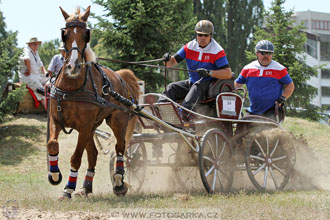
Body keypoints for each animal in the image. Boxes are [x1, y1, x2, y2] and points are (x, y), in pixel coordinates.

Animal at [47, 5, 139, 198]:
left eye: (86, 34)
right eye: (65, 34)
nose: (73, 66)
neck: (72, 88)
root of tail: (120, 77)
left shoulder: (84, 126)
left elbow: (76, 158)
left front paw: (67, 189)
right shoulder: (56, 119)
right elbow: (52, 144)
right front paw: (54, 174)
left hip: (117, 121)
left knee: (120, 148)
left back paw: (119, 182)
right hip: (92, 127)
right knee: (94, 154)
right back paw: (85, 187)